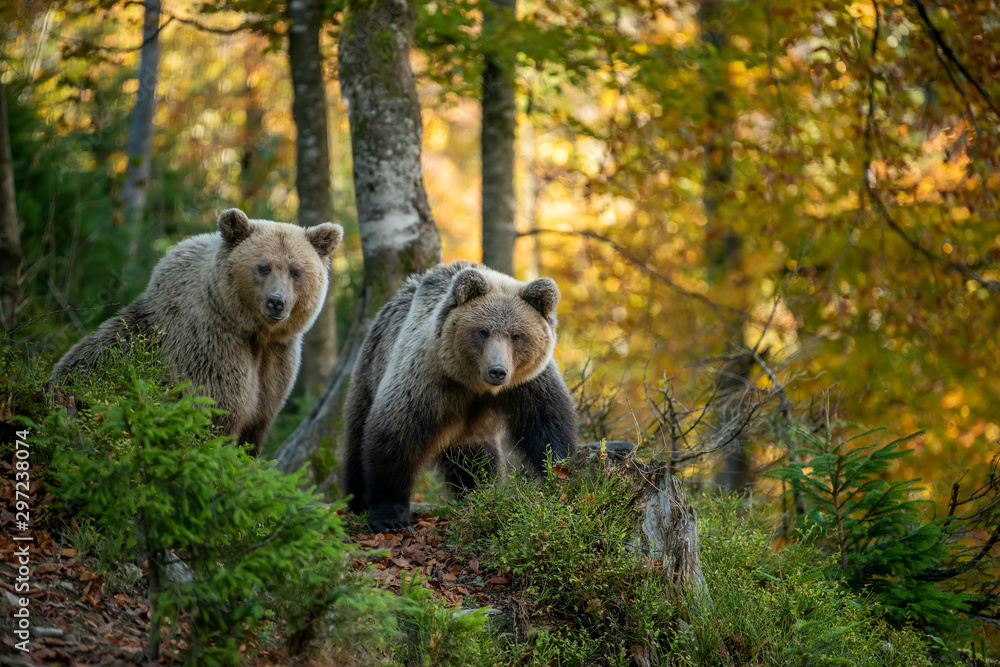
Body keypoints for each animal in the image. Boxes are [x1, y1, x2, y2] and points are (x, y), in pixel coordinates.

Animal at [53, 208, 343, 454]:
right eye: (263, 267)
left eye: (296, 271)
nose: (276, 302)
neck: (251, 332)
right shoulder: (210, 348)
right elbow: (217, 414)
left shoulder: (276, 360)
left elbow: (257, 424)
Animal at [342, 260, 578, 533]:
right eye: (483, 331)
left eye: (517, 335)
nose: (497, 371)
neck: (474, 385)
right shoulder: (428, 378)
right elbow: (395, 437)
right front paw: (390, 518)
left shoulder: (528, 384)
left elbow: (548, 428)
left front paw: (558, 478)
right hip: (370, 371)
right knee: (357, 437)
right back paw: (357, 500)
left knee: (477, 457)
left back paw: (477, 493)